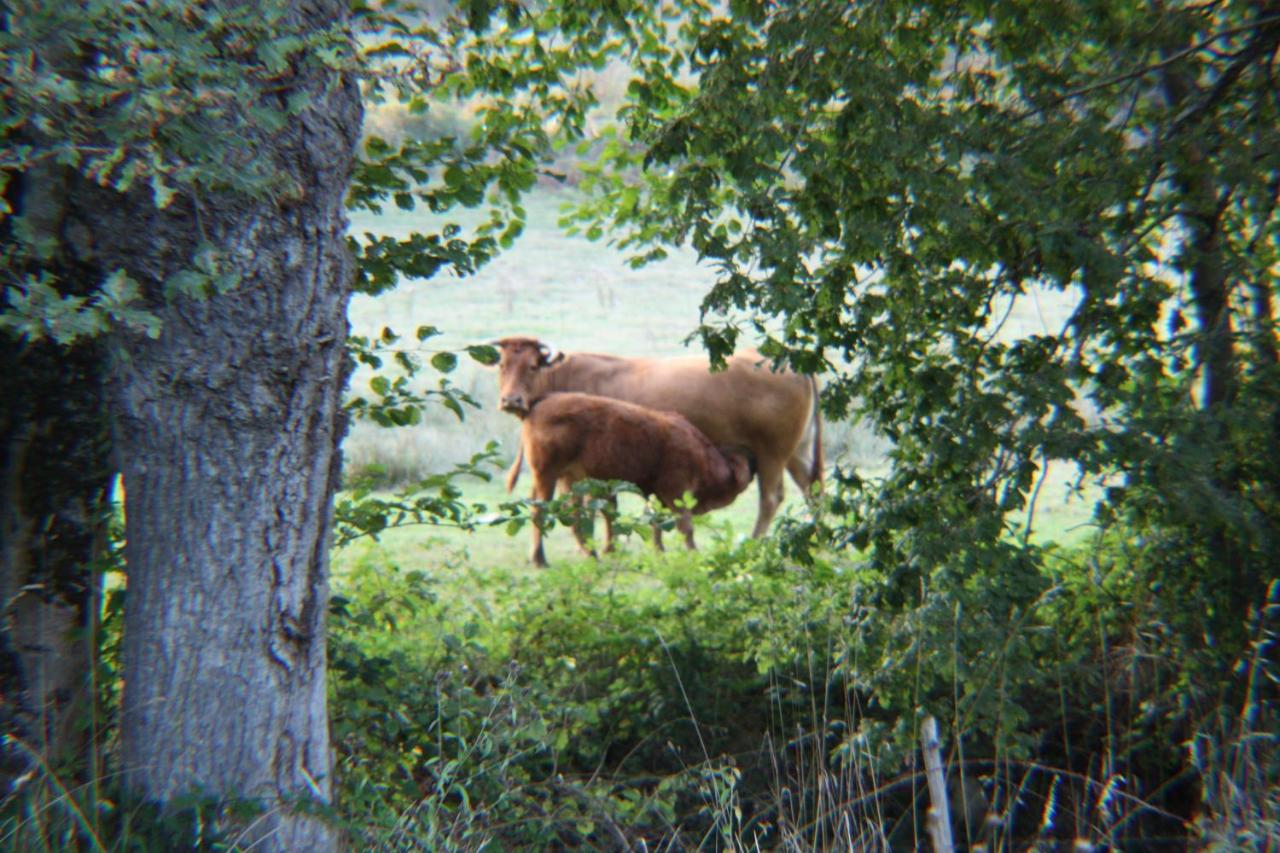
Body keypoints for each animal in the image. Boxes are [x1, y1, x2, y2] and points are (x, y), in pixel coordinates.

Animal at [494, 335, 824, 535]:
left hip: (772, 452)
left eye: (533, 366)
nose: (512, 400)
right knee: (814, 490)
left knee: (770, 498)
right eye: (502, 366)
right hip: (798, 451)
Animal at [504, 391, 752, 563]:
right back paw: (540, 560)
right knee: (540, 512)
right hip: (548, 475)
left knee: (573, 516)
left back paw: (591, 554)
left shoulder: (658, 496)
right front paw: (693, 554)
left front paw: (659, 552)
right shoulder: (676, 492)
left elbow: (656, 523)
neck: (700, 451)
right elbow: (685, 526)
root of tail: (540, 401)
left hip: (568, 480)